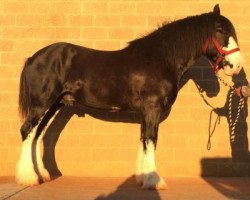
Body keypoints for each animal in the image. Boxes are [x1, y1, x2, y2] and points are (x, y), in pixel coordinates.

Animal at [16, 4, 242, 189]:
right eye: (221, 31)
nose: (237, 67)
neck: (160, 59)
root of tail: (34, 57)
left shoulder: (146, 113)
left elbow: (143, 140)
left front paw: (143, 178)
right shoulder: (152, 110)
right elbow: (151, 140)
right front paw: (153, 181)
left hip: (55, 104)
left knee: (38, 134)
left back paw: (41, 175)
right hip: (41, 104)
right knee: (27, 131)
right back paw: (28, 178)